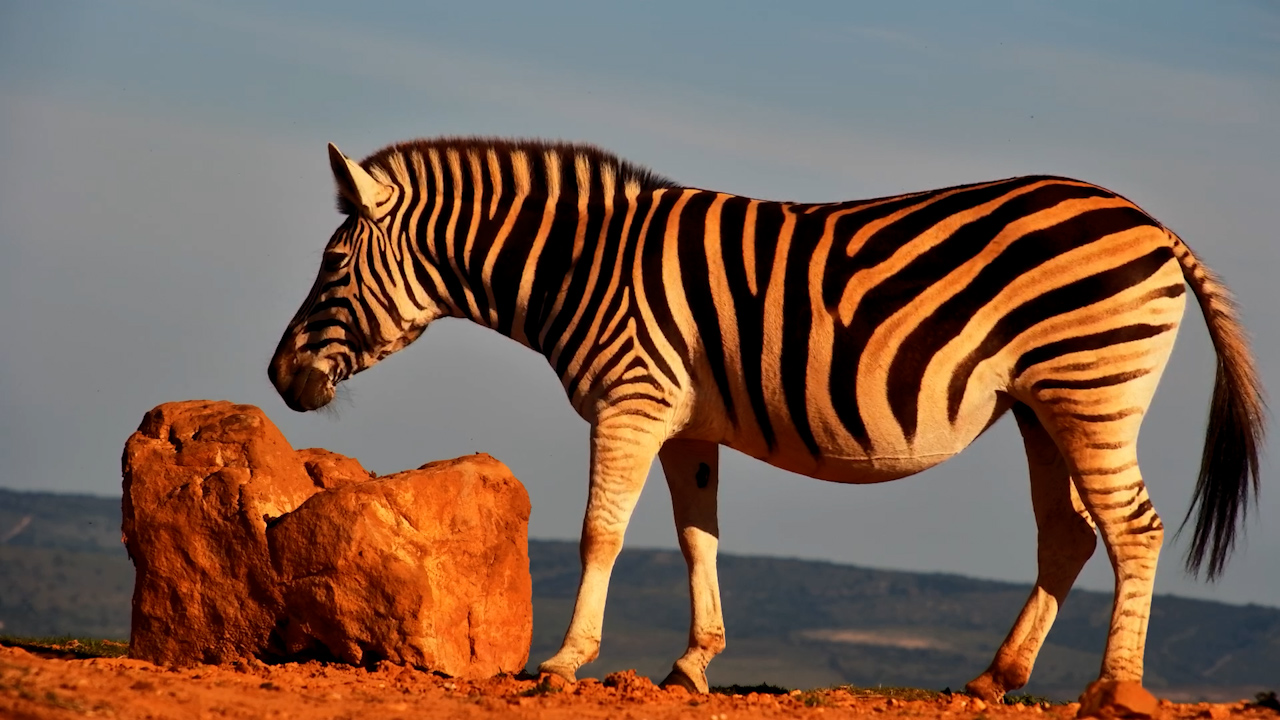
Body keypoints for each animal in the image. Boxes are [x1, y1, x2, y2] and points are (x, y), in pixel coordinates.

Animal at [269, 137, 1264, 701]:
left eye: (332, 264)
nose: (278, 379)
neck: (583, 264)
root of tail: (1154, 226)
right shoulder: (686, 422)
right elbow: (696, 538)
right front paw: (691, 665)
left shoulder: (631, 399)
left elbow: (601, 532)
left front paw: (563, 663)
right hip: (1039, 406)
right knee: (1069, 534)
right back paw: (994, 678)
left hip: (1091, 390)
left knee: (1133, 529)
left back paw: (1114, 686)